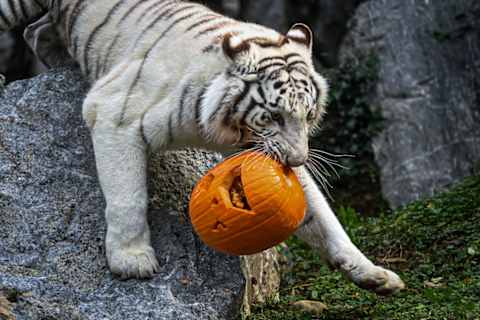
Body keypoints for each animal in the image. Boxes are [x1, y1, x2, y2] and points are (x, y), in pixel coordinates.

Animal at [0, 0, 404, 296]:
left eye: (308, 114)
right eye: (273, 115)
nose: (296, 158)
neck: (225, 128)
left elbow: (321, 216)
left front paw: (374, 275)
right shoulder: (116, 112)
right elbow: (127, 197)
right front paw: (132, 261)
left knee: (36, 30)